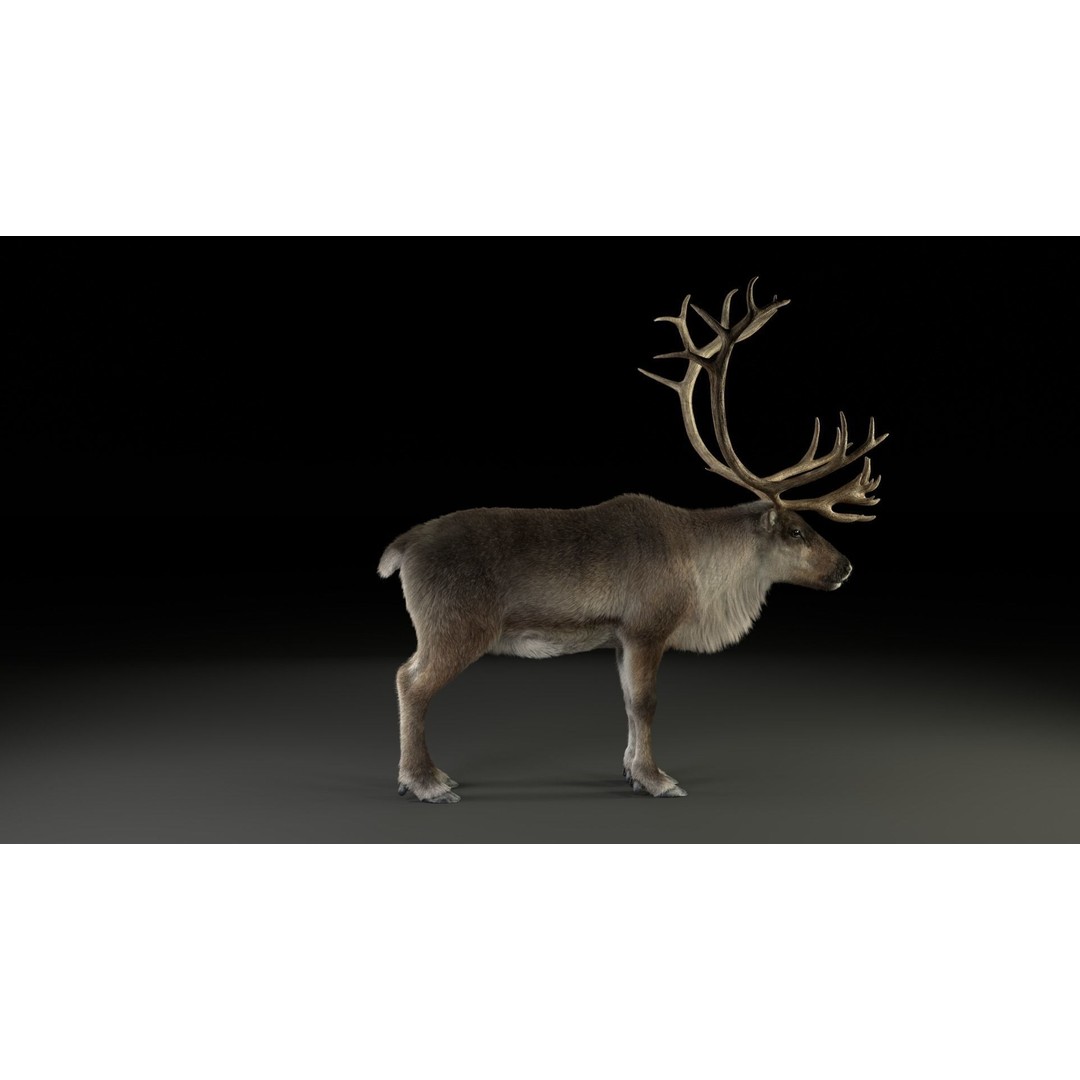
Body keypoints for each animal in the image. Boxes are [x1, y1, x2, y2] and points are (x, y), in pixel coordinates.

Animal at [379, 278, 888, 803]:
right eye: (796, 531)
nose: (846, 566)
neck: (706, 578)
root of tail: (402, 548)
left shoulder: (621, 637)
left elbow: (627, 701)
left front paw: (630, 770)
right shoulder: (647, 626)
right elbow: (646, 702)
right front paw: (656, 779)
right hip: (455, 625)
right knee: (411, 681)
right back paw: (424, 782)